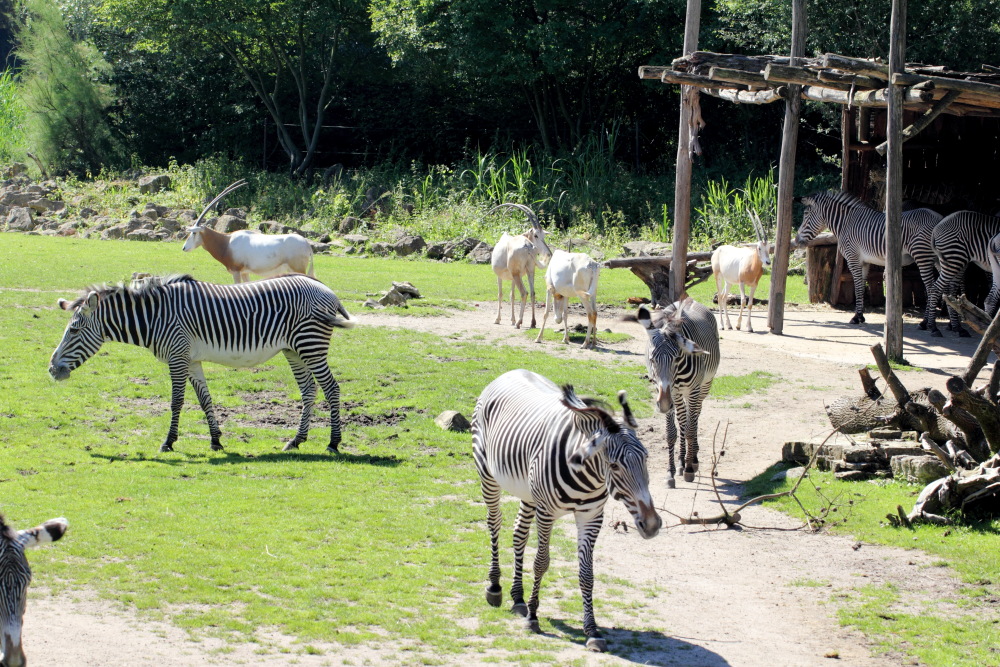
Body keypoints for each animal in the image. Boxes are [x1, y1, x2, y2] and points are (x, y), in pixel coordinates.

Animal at [49, 273, 355, 453]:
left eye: (74, 330)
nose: (52, 370)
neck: (155, 317)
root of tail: (326, 289)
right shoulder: (191, 359)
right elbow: (205, 399)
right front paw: (216, 440)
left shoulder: (177, 356)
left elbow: (176, 402)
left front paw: (168, 442)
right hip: (294, 350)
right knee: (309, 390)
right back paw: (296, 440)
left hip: (310, 345)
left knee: (332, 389)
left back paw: (333, 442)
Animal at [471, 369, 661, 652]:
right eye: (614, 466)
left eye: (646, 458)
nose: (652, 525)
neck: (588, 476)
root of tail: (511, 372)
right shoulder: (547, 512)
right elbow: (541, 563)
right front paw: (533, 618)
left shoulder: (592, 516)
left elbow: (587, 574)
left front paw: (592, 630)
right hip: (488, 474)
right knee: (494, 522)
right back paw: (495, 587)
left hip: (528, 492)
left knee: (519, 534)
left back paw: (518, 599)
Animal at [636, 299, 720, 488]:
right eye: (652, 359)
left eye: (676, 358)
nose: (664, 404)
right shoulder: (668, 392)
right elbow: (672, 432)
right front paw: (671, 472)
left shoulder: (693, 390)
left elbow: (690, 428)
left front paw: (689, 469)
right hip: (678, 395)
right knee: (683, 421)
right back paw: (682, 461)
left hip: (704, 386)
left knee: (694, 418)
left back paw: (692, 459)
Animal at [793, 190, 944, 326]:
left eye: (806, 214)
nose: (796, 241)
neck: (845, 223)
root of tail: (939, 219)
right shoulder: (864, 262)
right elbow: (861, 286)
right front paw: (860, 316)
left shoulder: (853, 258)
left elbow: (857, 286)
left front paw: (856, 317)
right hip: (938, 259)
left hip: (922, 256)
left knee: (931, 288)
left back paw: (926, 322)